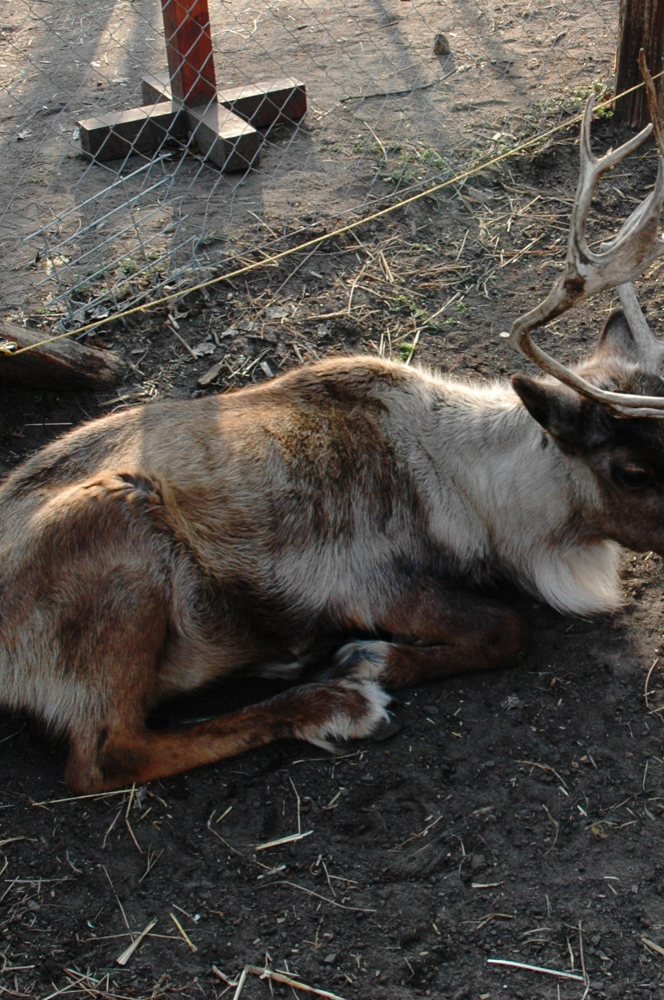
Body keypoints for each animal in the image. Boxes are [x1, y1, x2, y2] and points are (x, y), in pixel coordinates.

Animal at [3, 96, 664, 793]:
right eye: (632, 471)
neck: (478, 490)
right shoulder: (367, 582)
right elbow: (509, 629)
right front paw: (367, 662)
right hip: (119, 533)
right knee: (107, 754)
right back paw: (338, 706)